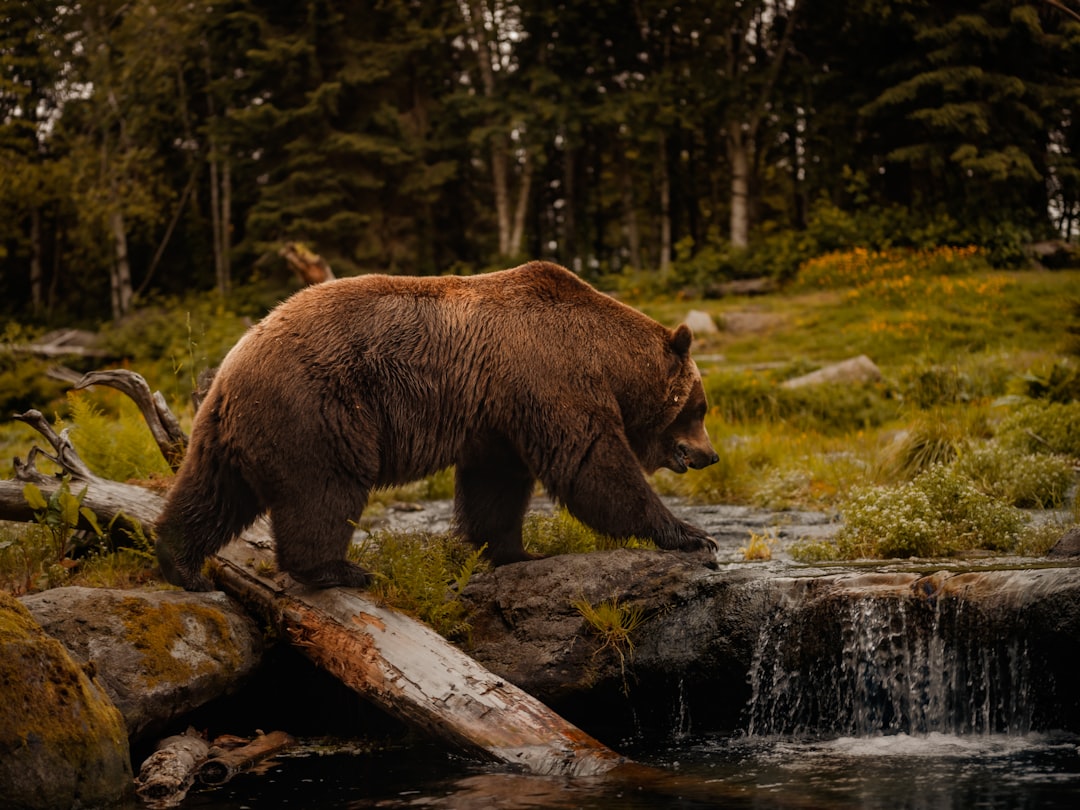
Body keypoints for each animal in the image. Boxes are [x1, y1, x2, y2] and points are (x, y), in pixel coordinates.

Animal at [155, 261, 720, 591]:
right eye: (700, 406)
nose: (710, 455)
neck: (607, 360)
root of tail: (235, 362)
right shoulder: (551, 378)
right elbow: (594, 466)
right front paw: (692, 535)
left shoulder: (500, 413)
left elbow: (496, 486)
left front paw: (514, 551)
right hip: (319, 410)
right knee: (324, 491)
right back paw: (340, 570)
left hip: (233, 428)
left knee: (211, 492)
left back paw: (181, 564)